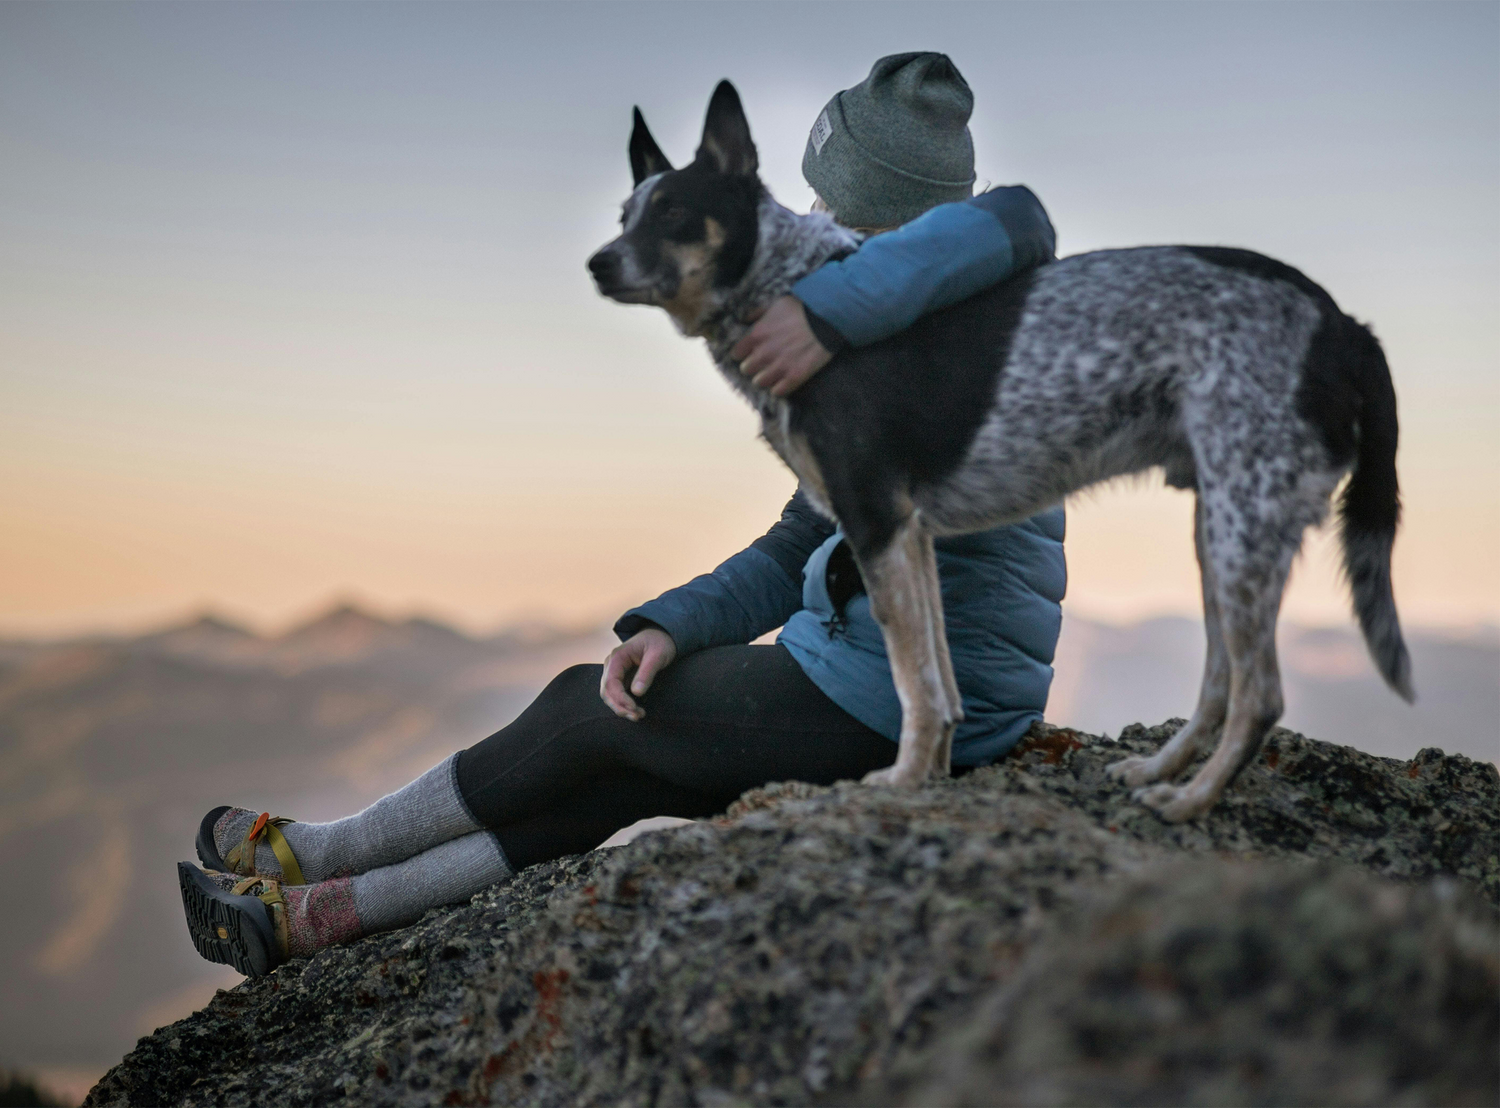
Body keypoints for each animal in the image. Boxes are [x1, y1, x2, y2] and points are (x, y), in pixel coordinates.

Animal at [591, 80, 1410, 821]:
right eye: (625, 214)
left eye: (672, 212)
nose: (598, 263)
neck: (784, 284)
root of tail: (1345, 324)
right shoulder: (909, 535)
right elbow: (938, 682)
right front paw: (928, 776)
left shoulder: (874, 521)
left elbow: (912, 681)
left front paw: (898, 784)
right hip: (1224, 532)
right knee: (1217, 684)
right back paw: (1155, 772)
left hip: (1244, 528)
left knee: (1260, 695)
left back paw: (1190, 802)